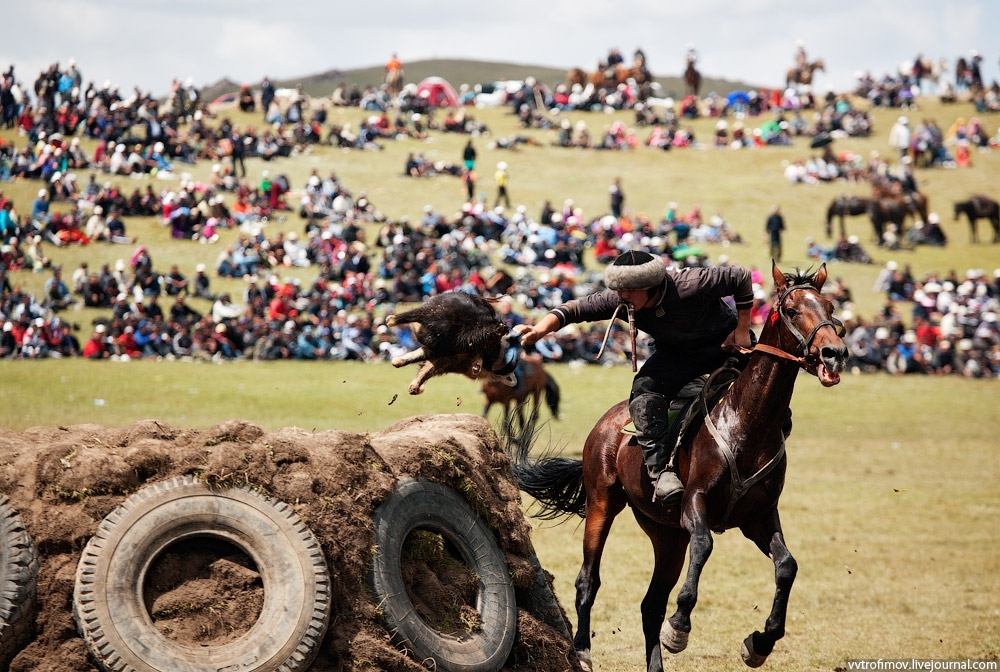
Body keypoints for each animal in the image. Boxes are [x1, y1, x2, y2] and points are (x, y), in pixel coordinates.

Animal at [512, 262, 848, 672]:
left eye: (829, 306)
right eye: (791, 310)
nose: (834, 353)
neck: (748, 423)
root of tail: (607, 423)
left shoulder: (759, 517)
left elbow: (787, 566)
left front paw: (760, 641)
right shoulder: (695, 503)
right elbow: (704, 545)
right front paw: (680, 627)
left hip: (666, 535)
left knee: (651, 604)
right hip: (602, 504)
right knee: (588, 581)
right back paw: (582, 651)